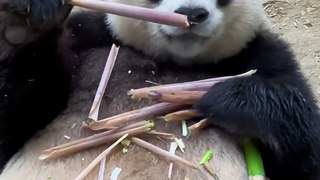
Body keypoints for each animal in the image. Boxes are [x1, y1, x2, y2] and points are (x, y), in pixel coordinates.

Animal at [0, 0, 320, 179]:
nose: (191, 14)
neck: (169, 59)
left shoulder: (262, 55)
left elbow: (305, 154)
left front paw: (231, 99)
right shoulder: (86, 38)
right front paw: (24, 26)